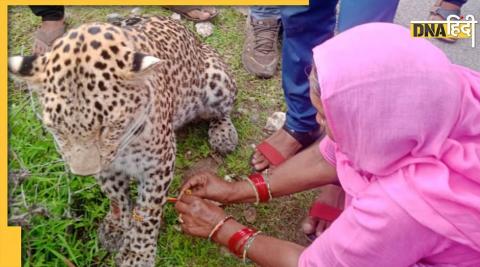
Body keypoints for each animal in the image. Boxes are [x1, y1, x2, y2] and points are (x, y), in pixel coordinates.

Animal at [7, 15, 238, 266]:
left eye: (107, 127)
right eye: (57, 129)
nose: (83, 173)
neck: (124, 144)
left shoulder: (158, 165)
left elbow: (147, 212)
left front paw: (138, 253)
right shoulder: (108, 166)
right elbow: (116, 196)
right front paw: (116, 228)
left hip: (217, 81)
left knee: (222, 111)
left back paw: (224, 134)